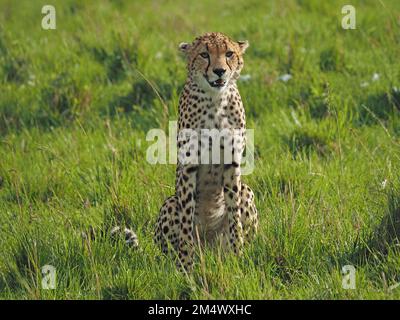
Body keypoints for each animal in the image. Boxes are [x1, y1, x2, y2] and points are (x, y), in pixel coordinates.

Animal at [153, 32, 260, 272]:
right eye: (204, 54)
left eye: (229, 53)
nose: (219, 71)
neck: (215, 100)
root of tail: (209, 249)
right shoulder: (189, 166)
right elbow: (186, 221)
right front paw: (186, 267)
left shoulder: (232, 163)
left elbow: (233, 214)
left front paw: (237, 256)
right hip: (170, 204)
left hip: (247, 191)